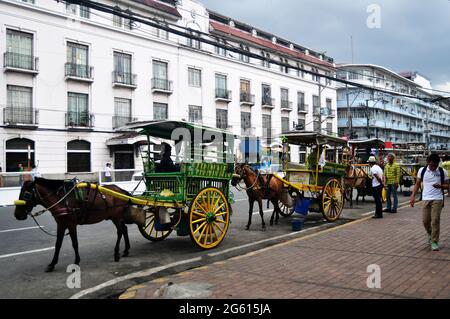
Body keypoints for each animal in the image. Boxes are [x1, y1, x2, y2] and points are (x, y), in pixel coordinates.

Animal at [14, 178, 143, 272]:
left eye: (26, 194)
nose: (17, 215)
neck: (62, 200)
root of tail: (120, 190)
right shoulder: (61, 224)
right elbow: (58, 244)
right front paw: (52, 264)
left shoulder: (71, 224)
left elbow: (75, 243)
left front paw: (76, 261)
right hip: (114, 217)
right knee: (124, 229)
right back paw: (126, 250)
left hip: (116, 216)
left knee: (120, 231)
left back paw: (116, 253)